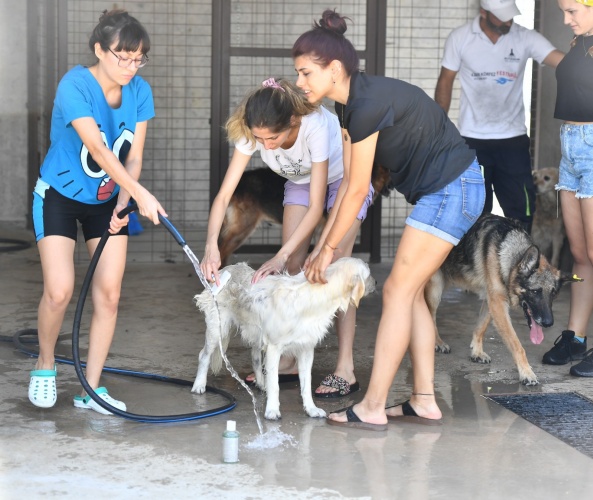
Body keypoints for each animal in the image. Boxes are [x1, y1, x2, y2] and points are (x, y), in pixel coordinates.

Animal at [191, 258, 374, 418]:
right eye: (369, 274)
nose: (377, 282)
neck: (315, 296)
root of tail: (226, 269)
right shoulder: (274, 348)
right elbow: (275, 384)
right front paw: (272, 410)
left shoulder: (306, 350)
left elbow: (306, 384)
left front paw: (311, 409)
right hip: (217, 329)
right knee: (203, 355)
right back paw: (199, 384)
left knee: (255, 358)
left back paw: (261, 383)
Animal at [426, 215, 580, 386]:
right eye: (535, 291)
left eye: (553, 294)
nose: (548, 323)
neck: (510, 256)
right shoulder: (498, 304)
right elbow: (517, 344)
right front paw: (526, 372)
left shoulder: (490, 301)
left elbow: (480, 327)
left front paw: (477, 352)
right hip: (435, 290)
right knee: (430, 316)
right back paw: (438, 343)